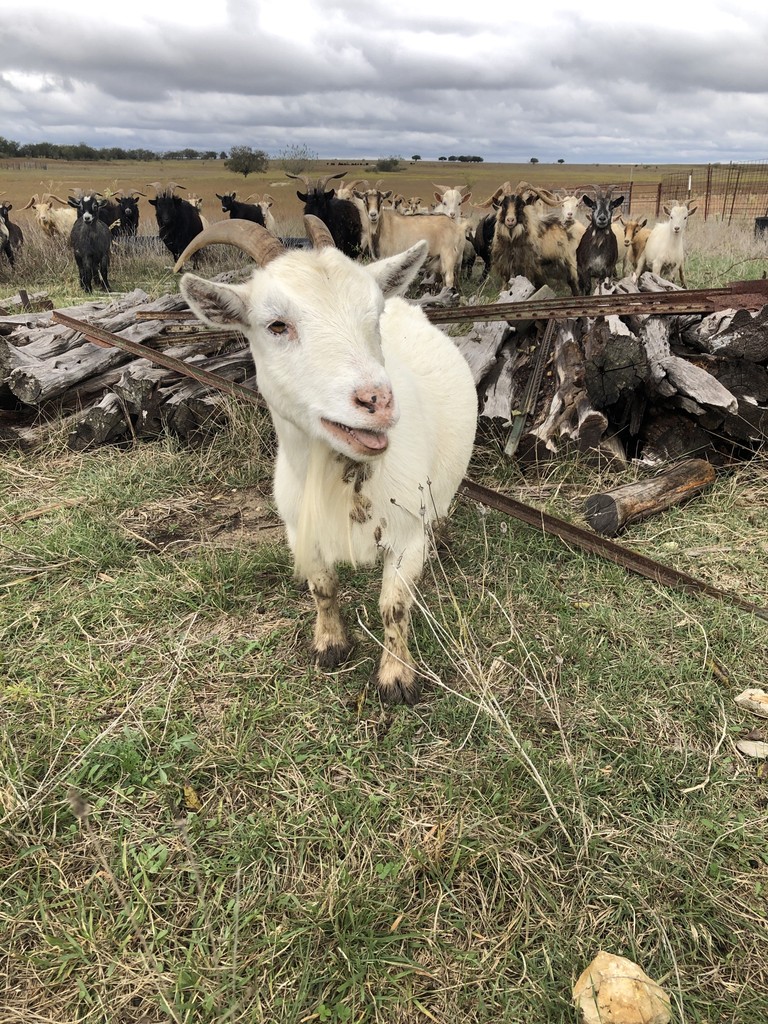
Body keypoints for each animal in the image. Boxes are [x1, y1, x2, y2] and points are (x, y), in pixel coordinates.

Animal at [174, 216, 475, 704]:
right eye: (276, 325)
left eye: (374, 315)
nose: (376, 401)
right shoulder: (301, 530)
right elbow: (323, 587)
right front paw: (329, 644)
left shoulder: (406, 535)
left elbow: (394, 606)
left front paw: (397, 678)